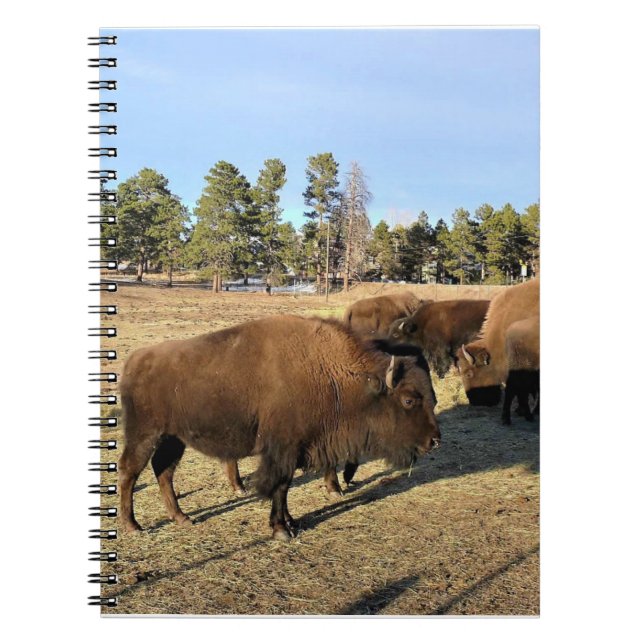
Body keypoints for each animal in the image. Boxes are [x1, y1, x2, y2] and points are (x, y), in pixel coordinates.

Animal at [119, 315, 441, 540]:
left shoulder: (297, 448)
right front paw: (280, 529)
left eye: (433, 398)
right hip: (144, 434)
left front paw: (291, 522)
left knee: (164, 471)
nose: (435, 441)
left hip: (174, 438)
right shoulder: (283, 449)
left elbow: (284, 489)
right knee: (130, 471)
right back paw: (132, 525)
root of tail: (135, 359)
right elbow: (280, 485)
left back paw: (182, 517)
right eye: (409, 399)